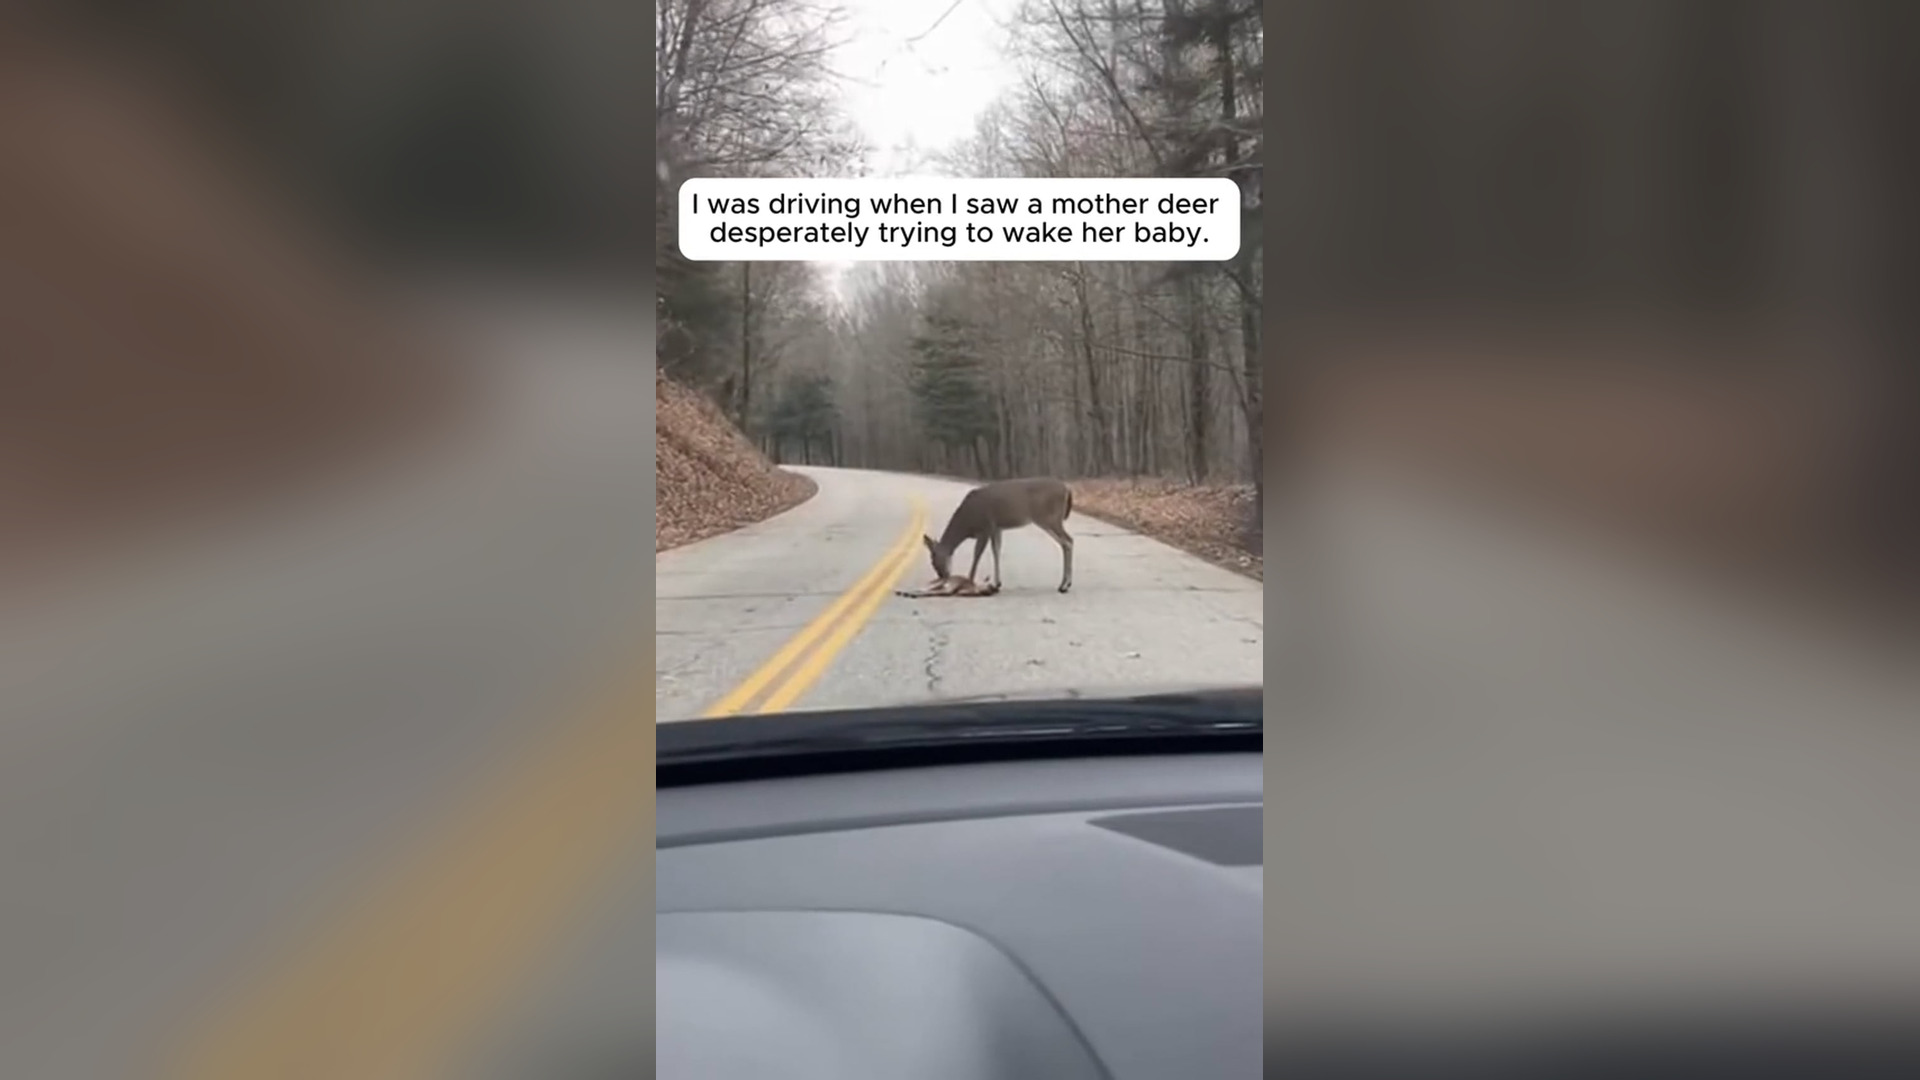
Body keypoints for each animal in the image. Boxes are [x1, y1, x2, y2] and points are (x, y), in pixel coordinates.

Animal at [921, 477, 1075, 594]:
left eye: (933, 561)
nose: (943, 576)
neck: (967, 523)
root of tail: (1067, 489)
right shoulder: (996, 528)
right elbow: (996, 551)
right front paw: (997, 584)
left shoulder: (985, 527)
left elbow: (977, 554)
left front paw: (969, 582)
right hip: (1050, 519)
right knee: (1066, 542)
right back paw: (1065, 584)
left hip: (1049, 518)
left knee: (1068, 540)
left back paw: (1064, 585)